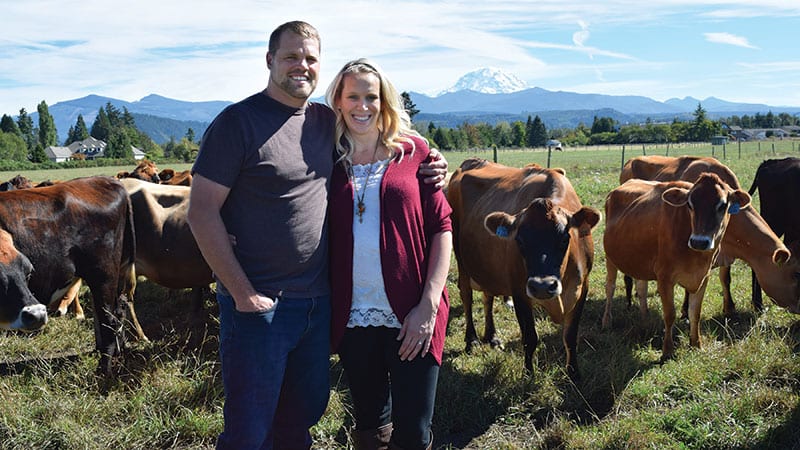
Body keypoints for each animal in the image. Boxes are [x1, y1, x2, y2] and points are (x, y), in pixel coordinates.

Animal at [0, 178, 134, 374]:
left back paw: (104, 371)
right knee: (117, 312)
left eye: (29, 271)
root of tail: (104, 180)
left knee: (109, 321)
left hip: (104, 277)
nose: (36, 314)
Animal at [446, 158, 596, 376]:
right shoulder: (519, 291)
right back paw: (471, 339)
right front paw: (528, 374)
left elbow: (570, 337)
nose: (542, 286)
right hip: (460, 256)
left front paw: (574, 373)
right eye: (520, 241)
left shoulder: (583, 286)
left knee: (488, 296)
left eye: (564, 238)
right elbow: (529, 337)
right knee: (466, 294)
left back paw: (491, 336)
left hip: (487, 267)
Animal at [604, 174, 752, 360]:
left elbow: (695, 313)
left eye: (723, 205)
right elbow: (670, 315)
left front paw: (696, 344)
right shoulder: (664, 278)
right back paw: (607, 321)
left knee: (641, 288)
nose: (699, 241)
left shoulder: (703, 277)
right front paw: (667, 351)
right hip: (610, 258)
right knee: (610, 288)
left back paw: (645, 319)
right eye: (689, 204)